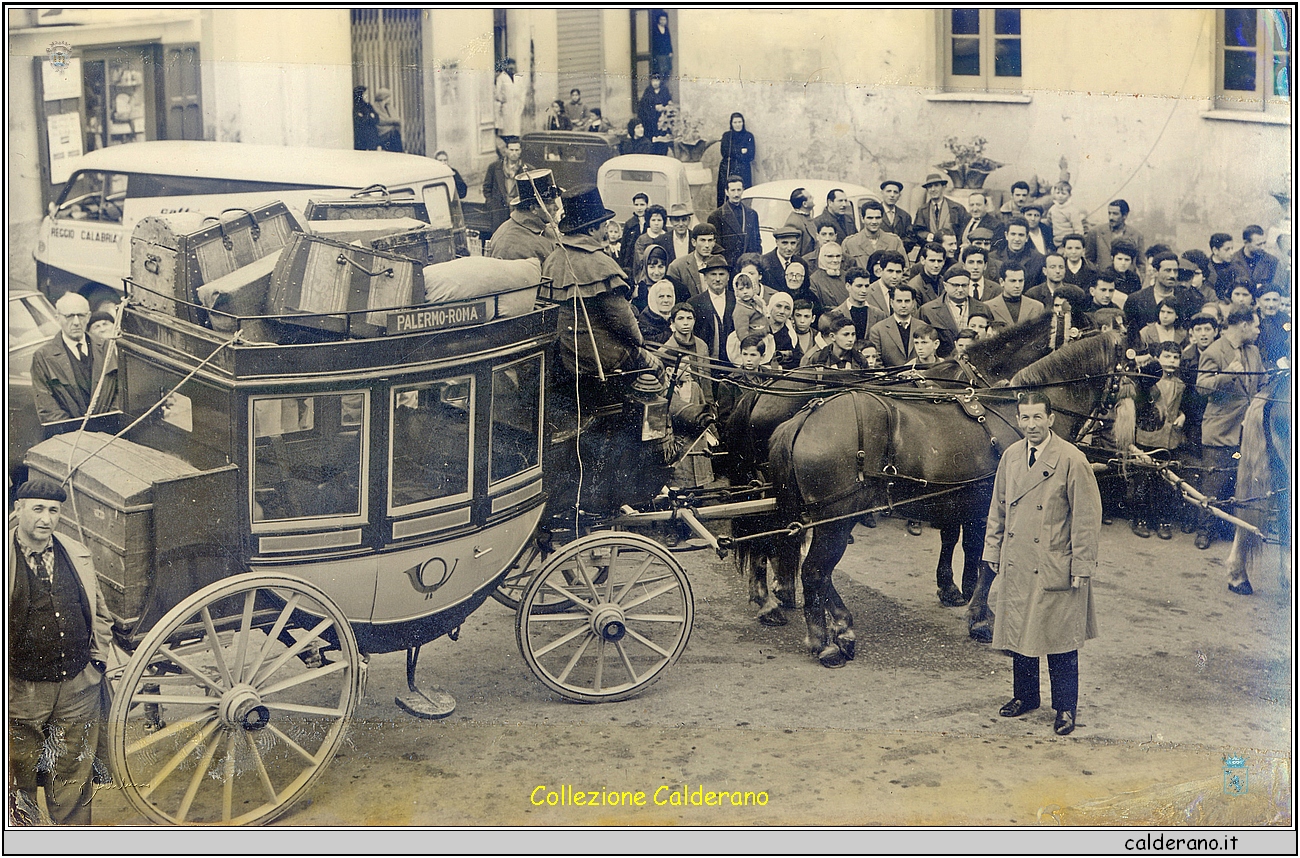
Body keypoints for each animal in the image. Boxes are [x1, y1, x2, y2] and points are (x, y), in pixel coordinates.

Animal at [722, 314, 1076, 629]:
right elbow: (967, 540)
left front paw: (953, 587)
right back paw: (776, 602)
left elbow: (954, 535)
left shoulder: (950, 486)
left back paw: (775, 596)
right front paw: (963, 591)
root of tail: (761, 391)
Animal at [764, 326, 1133, 663]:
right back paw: (824, 642)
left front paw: (965, 598)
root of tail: (804, 418)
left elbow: (966, 547)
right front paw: (980, 619)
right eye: (1130, 372)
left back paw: (841, 627)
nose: (1126, 433)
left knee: (820, 572)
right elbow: (987, 561)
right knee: (815, 572)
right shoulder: (993, 509)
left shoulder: (966, 506)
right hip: (836, 519)